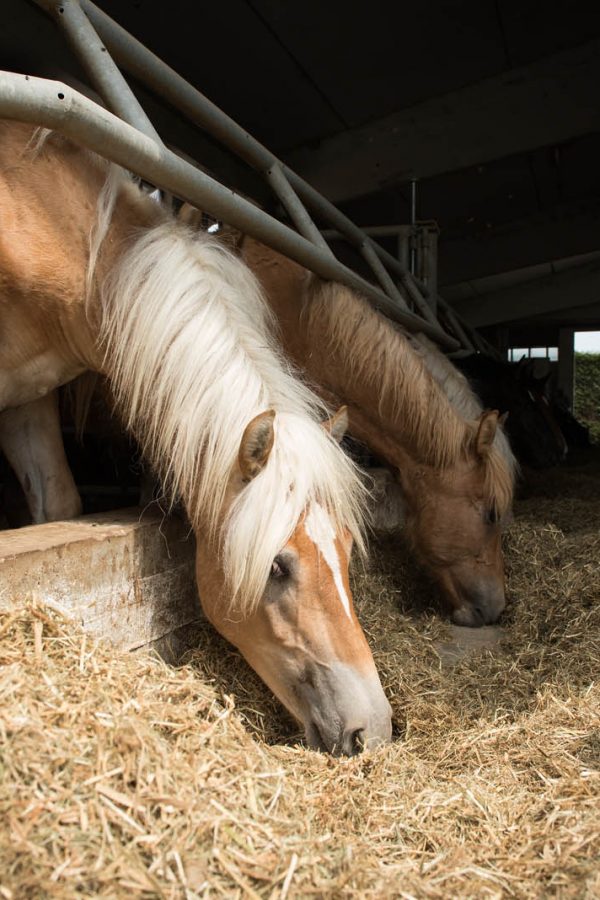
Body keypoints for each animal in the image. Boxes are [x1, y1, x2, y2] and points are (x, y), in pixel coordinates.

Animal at [0, 119, 394, 752]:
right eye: (277, 566)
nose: (373, 730)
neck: (41, 221)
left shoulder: (30, 395)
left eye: (346, 550)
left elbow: (56, 502)